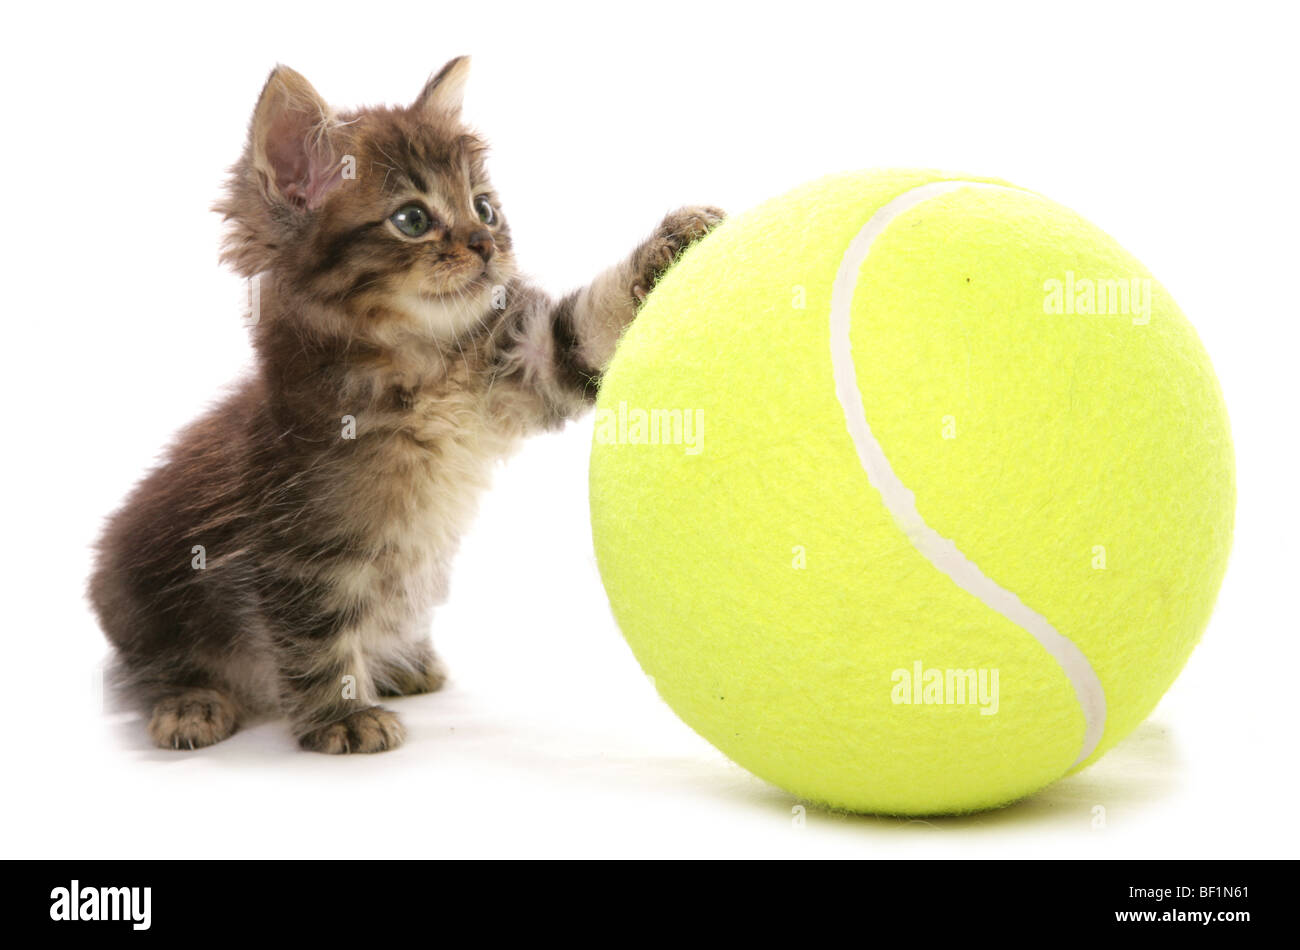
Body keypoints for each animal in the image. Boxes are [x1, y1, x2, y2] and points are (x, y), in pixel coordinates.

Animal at [91, 57, 722, 758]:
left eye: (485, 208)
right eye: (412, 220)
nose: (485, 244)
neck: (419, 368)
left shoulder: (525, 366)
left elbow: (584, 326)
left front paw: (675, 237)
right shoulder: (303, 545)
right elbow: (315, 635)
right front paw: (342, 716)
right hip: (140, 598)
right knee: (144, 671)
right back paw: (191, 704)